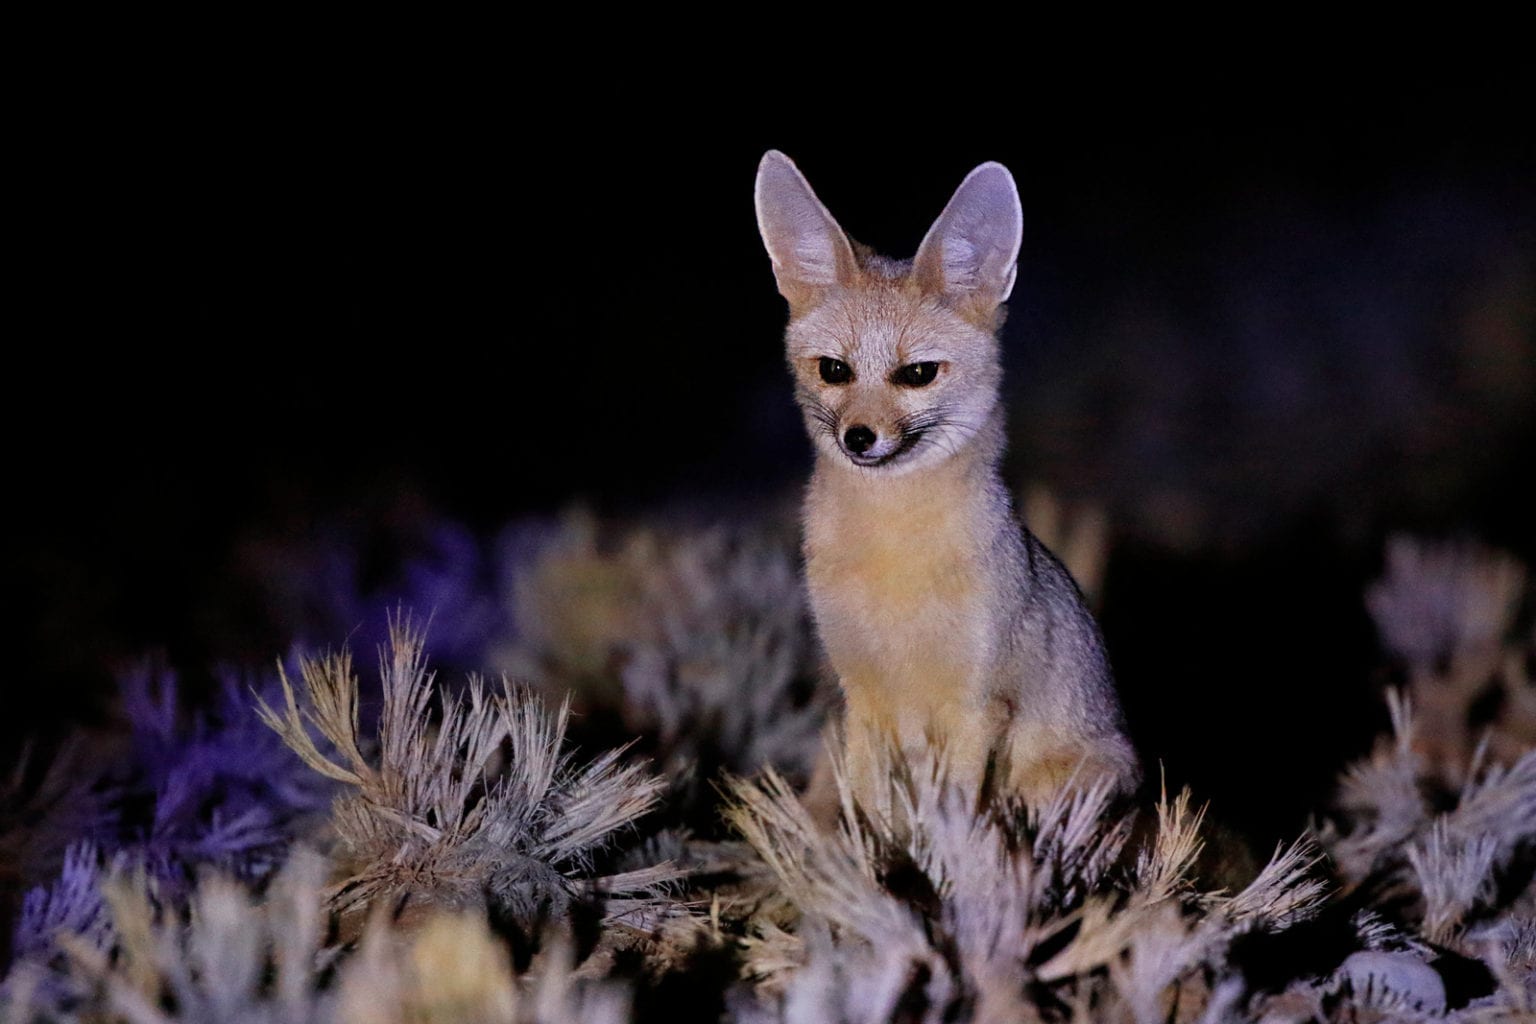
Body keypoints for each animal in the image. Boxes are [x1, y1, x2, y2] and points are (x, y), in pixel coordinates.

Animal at [755, 150, 1142, 810]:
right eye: (834, 370)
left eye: (917, 374)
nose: (859, 438)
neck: (894, 561)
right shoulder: (861, 702)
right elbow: (870, 815)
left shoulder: (977, 707)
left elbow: (953, 817)